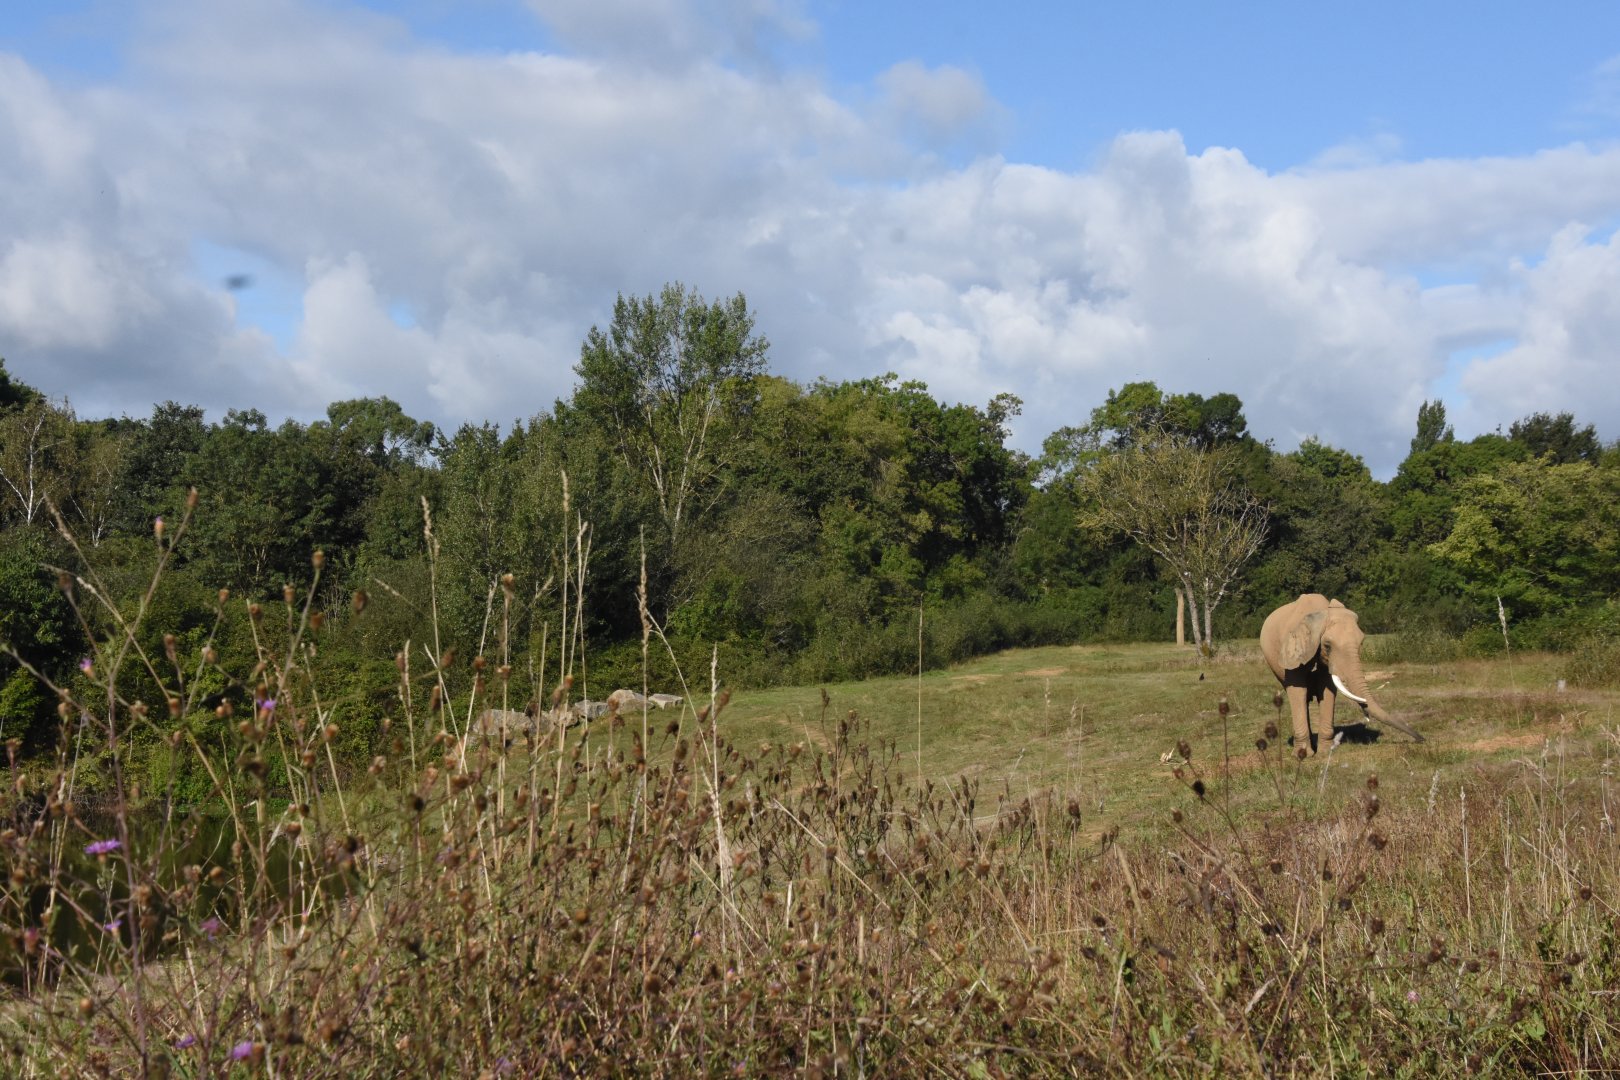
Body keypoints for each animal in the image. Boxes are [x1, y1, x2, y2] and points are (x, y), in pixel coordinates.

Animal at [1259, 594, 1423, 751]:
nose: (1421, 739)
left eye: (1361, 643)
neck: (1319, 614)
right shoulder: (1292, 651)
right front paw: (1304, 754)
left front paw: (1325, 752)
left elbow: (1326, 688)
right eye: (1327, 645)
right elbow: (1297, 690)